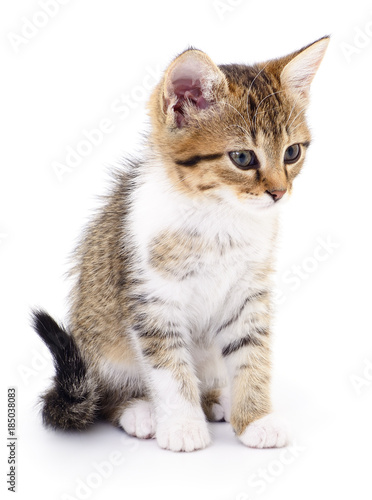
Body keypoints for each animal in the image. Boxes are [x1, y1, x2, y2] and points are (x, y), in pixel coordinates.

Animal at [32, 37, 328, 454]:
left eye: (292, 152)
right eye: (242, 157)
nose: (279, 192)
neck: (220, 216)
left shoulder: (249, 294)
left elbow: (252, 354)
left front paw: (255, 417)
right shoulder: (153, 300)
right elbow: (169, 368)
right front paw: (184, 426)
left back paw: (217, 398)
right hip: (98, 342)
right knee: (103, 394)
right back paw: (139, 410)